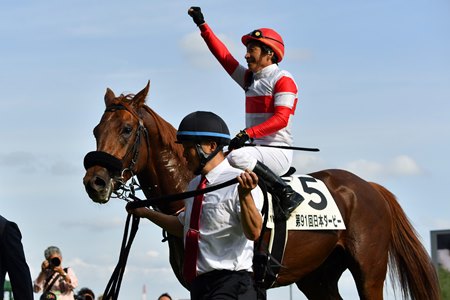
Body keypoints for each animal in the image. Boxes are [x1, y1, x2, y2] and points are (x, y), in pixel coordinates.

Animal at [82, 82, 438, 300]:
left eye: (127, 129)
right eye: (96, 129)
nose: (94, 182)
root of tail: (370, 187)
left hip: (369, 271)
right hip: (317, 277)